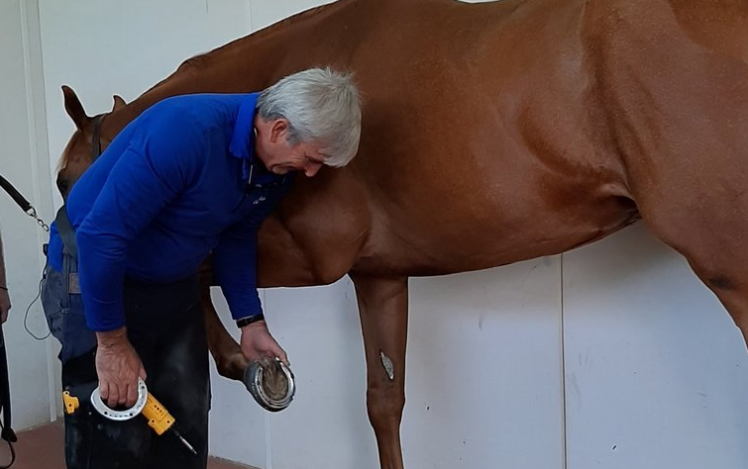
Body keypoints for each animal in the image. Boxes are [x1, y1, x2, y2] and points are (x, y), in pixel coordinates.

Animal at [54, 0, 748, 468]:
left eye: (65, 179)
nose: (65, 259)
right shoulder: (379, 275)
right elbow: (384, 400)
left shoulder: (319, 258)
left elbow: (195, 264)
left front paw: (234, 359)